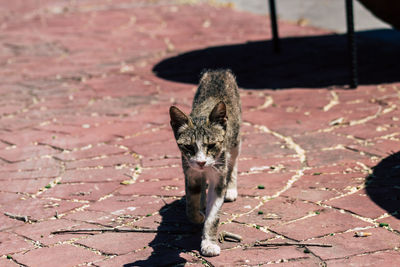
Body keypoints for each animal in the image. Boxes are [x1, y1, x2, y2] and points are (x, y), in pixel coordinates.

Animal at [169, 69, 241, 258]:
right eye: (188, 147)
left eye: (211, 145)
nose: (201, 162)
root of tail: (218, 70)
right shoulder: (191, 171)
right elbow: (191, 204)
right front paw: (198, 216)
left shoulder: (218, 175)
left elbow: (213, 216)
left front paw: (209, 243)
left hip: (235, 140)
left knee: (233, 161)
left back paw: (231, 188)